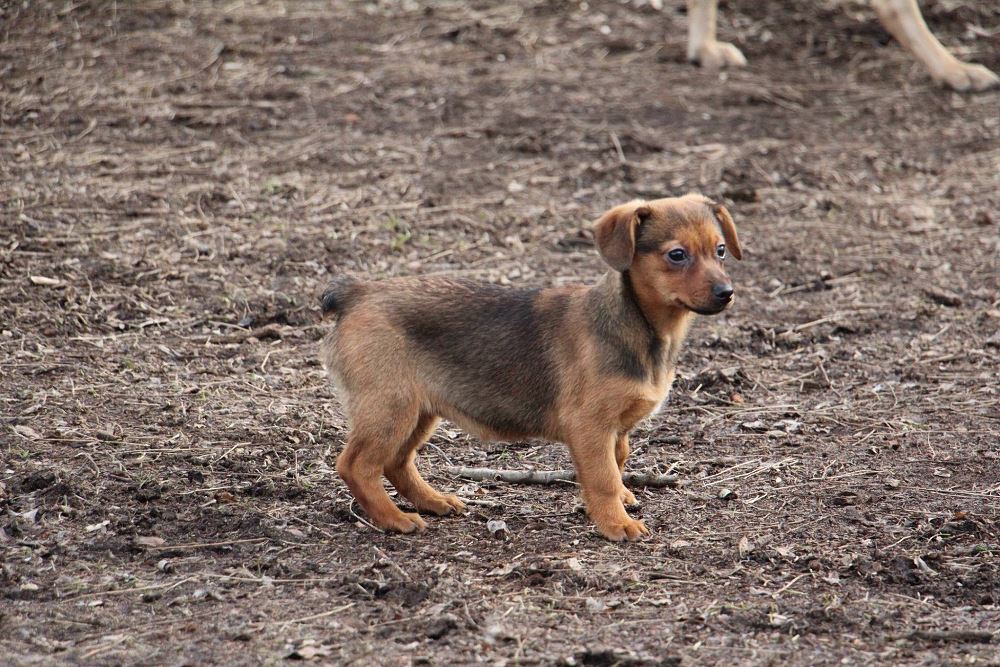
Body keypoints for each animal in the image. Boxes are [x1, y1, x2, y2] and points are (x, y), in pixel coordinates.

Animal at [319, 194, 741, 541]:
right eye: (677, 255)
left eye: (720, 250)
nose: (727, 293)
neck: (641, 325)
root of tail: (357, 293)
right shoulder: (590, 426)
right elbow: (603, 476)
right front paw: (616, 523)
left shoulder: (616, 429)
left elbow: (618, 460)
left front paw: (621, 498)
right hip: (391, 407)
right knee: (355, 465)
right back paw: (394, 519)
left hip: (418, 410)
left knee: (396, 463)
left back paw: (432, 501)